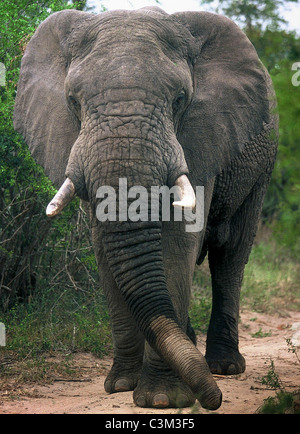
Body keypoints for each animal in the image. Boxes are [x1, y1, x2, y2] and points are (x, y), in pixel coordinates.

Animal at [12, 5, 278, 408]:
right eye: (73, 101)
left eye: (180, 100)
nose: (214, 400)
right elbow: (106, 247)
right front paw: (122, 385)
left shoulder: (201, 136)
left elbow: (178, 241)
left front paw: (162, 399)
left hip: (261, 163)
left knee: (231, 253)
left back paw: (224, 368)